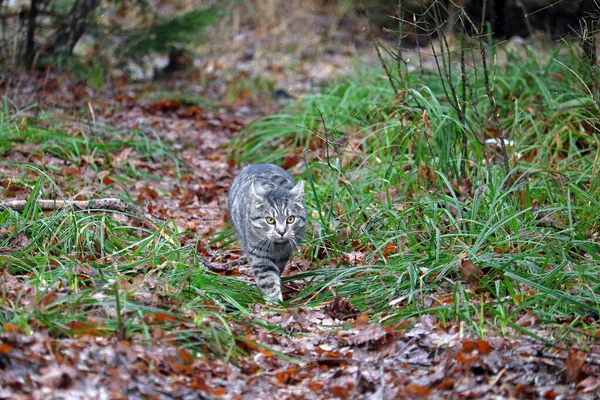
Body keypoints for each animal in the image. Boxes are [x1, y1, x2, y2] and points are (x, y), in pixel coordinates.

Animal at [229, 164, 308, 302]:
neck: (278, 247)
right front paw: (274, 302)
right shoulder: (259, 255)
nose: (281, 231)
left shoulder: (284, 255)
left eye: (290, 219)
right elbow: (268, 280)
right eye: (270, 220)